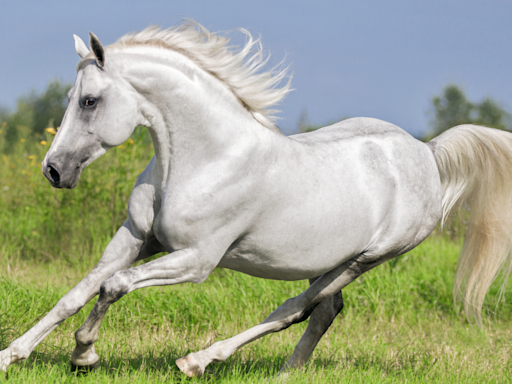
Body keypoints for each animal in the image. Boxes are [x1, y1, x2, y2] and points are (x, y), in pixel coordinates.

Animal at [1, 20, 512, 376]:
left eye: (89, 101)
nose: (53, 170)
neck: (206, 159)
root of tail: (427, 152)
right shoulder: (136, 238)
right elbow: (77, 293)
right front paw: (12, 354)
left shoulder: (197, 260)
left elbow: (115, 285)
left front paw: (83, 355)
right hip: (334, 259)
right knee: (324, 311)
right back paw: (287, 374)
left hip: (367, 259)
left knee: (296, 309)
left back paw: (199, 361)